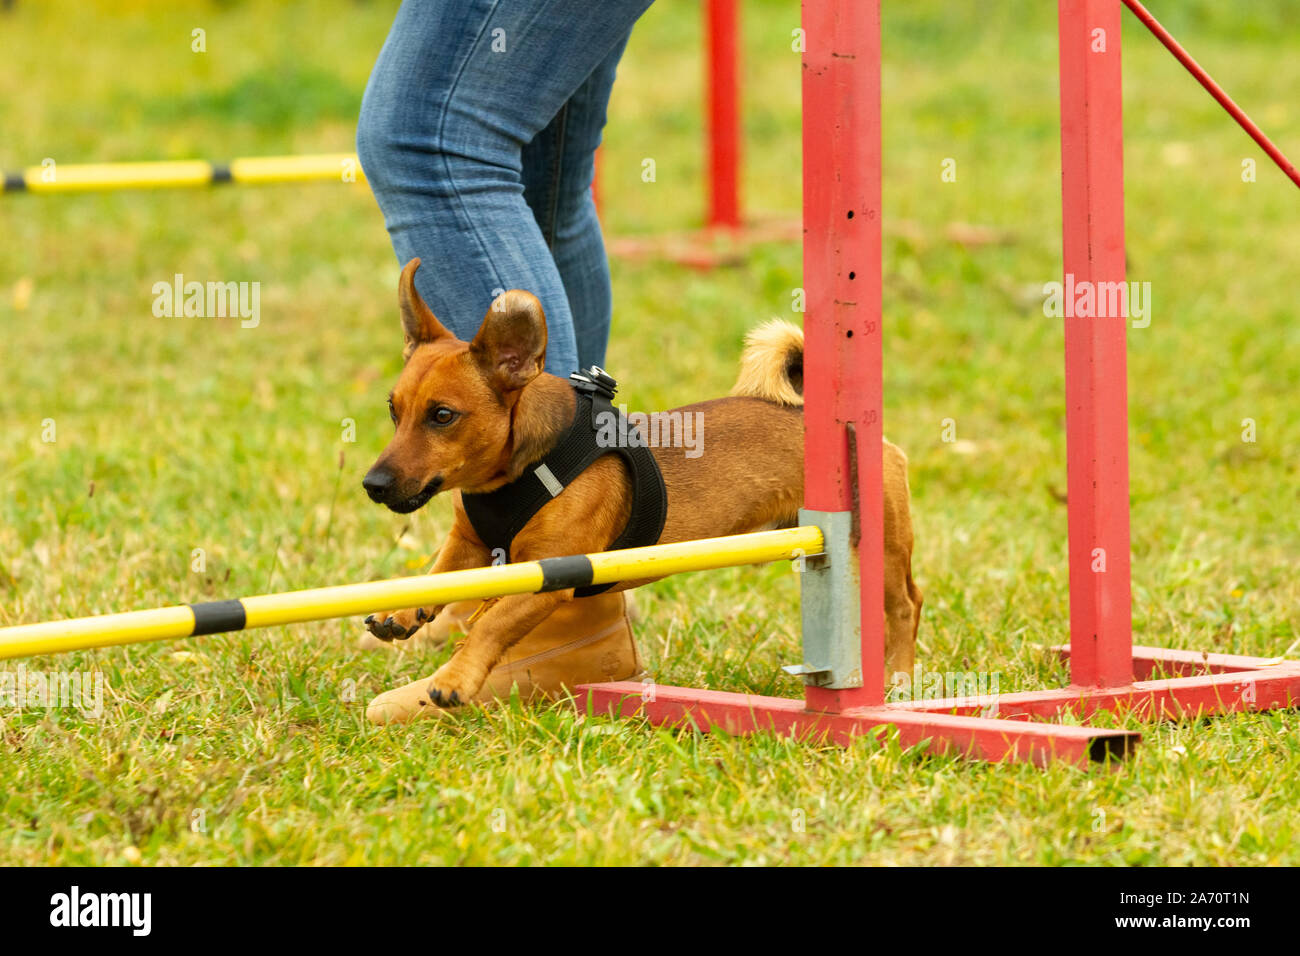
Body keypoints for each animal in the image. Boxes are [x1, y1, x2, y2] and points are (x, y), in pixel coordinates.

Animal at [361, 257, 920, 707]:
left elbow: (493, 623)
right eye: (393, 410)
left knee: (905, 606)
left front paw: (455, 677)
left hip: (882, 551)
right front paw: (406, 611)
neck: (515, 476)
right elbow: (437, 576)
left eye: (443, 416)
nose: (373, 484)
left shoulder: (549, 576)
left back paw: (898, 680)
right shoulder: (469, 542)